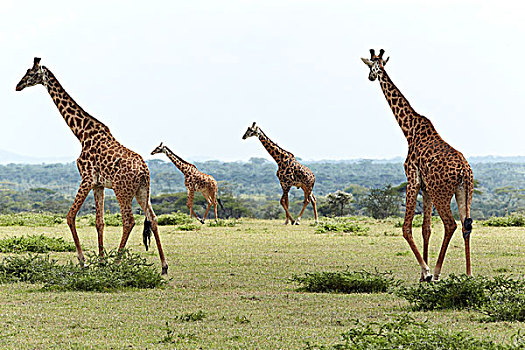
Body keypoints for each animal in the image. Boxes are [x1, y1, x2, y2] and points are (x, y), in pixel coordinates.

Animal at [15, 57, 168, 274]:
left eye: (31, 72)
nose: (18, 85)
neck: (81, 133)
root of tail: (145, 172)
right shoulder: (98, 184)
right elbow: (99, 222)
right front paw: (101, 262)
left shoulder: (86, 178)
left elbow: (70, 216)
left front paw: (83, 261)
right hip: (142, 191)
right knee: (153, 219)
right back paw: (163, 266)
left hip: (123, 190)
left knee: (129, 221)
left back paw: (117, 263)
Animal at [362, 48, 472, 282]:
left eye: (372, 66)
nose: (371, 77)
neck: (409, 130)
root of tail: (465, 171)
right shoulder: (426, 187)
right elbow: (426, 228)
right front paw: (423, 275)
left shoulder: (412, 178)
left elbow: (406, 228)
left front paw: (427, 271)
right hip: (464, 191)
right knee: (467, 225)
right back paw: (468, 274)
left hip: (442, 192)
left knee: (451, 224)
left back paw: (438, 272)